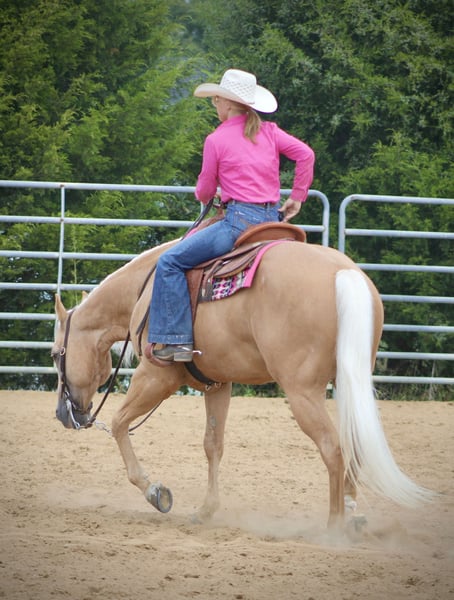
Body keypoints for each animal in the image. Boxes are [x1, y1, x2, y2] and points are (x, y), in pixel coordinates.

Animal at [52, 236, 432, 529]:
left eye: (56, 355)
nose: (62, 415)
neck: (143, 293)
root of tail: (344, 272)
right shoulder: (219, 384)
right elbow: (213, 444)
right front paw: (206, 510)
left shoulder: (157, 375)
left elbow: (118, 424)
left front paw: (155, 491)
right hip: (349, 381)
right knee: (352, 441)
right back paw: (353, 512)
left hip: (302, 392)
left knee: (331, 446)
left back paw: (335, 526)